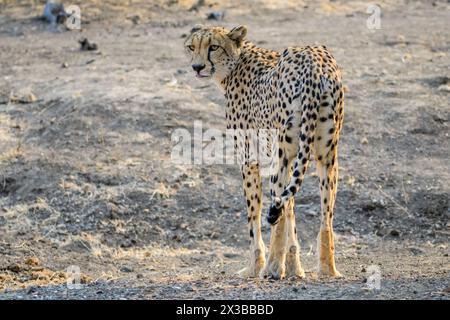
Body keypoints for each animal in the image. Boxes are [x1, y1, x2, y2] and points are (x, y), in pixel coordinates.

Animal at [184, 25, 344, 280]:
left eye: (214, 47)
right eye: (192, 46)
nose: (197, 67)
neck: (236, 62)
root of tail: (314, 63)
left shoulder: (249, 158)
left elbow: (255, 214)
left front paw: (256, 266)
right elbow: (290, 209)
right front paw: (294, 267)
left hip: (283, 153)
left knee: (278, 205)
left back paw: (270, 269)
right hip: (326, 154)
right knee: (325, 215)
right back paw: (328, 269)